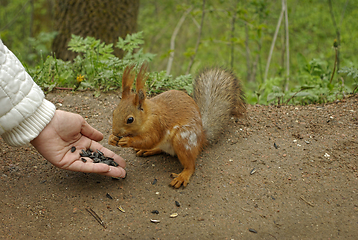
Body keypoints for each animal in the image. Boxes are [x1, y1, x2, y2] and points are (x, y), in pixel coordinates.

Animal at [107, 64, 245, 188]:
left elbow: (149, 139)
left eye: (130, 119)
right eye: (114, 112)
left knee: (191, 165)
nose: (115, 132)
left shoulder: (157, 125)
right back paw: (148, 150)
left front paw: (127, 141)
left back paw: (183, 176)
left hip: (183, 139)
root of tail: (201, 138)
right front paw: (112, 138)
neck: (148, 116)